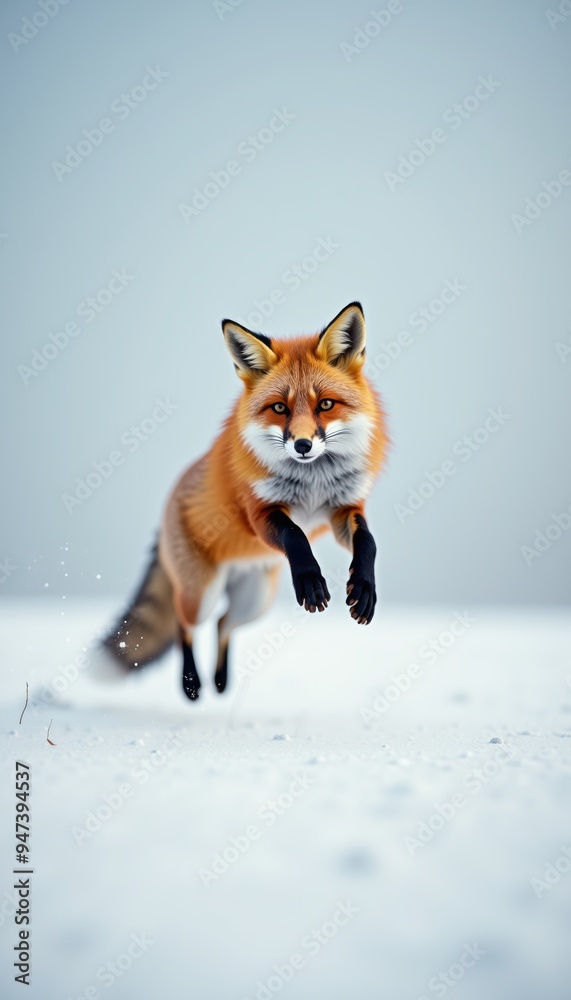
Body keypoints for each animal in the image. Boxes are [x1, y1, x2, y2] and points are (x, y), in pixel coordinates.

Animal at [100, 302, 388, 699]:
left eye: (326, 404)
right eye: (280, 408)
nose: (302, 445)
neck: (313, 482)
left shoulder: (342, 510)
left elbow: (368, 542)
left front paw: (363, 588)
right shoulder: (258, 512)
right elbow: (295, 535)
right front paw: (311, 579)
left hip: (254, 601)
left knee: (223, 623)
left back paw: (221, 681)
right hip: (200, 594)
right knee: (184, 625)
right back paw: (191, 684)